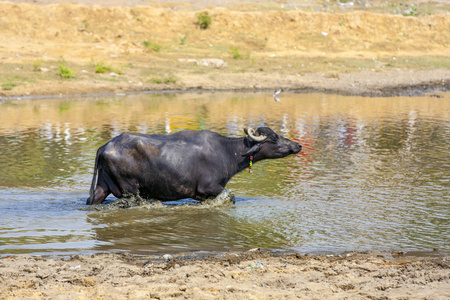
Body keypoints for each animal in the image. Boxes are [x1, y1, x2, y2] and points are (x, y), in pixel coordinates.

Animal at [86, 126, 300, 204]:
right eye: (274, 138)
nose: (297, 145)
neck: (227, 152)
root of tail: (105, 146)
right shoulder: (209, 187)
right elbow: (230, 196)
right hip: (131, 189)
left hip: (102, 186)